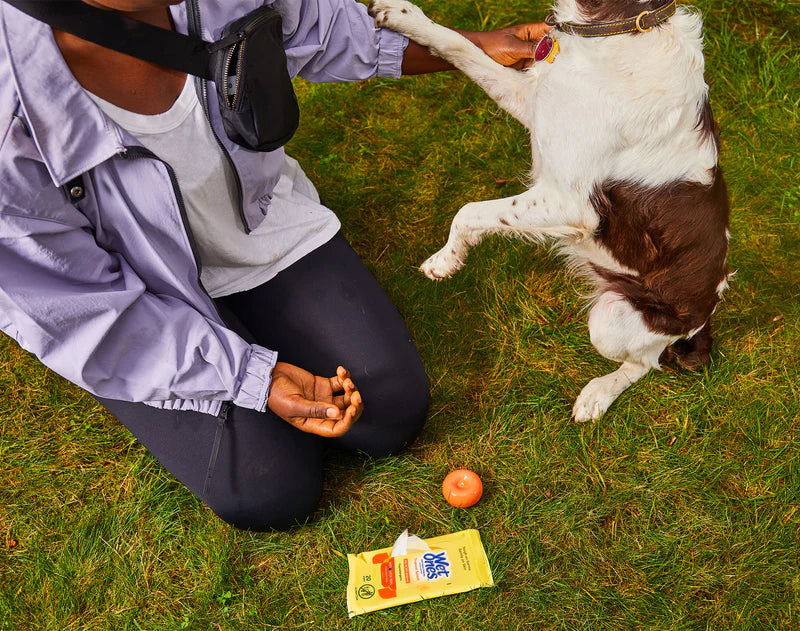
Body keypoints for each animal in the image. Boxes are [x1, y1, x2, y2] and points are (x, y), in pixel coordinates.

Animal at [368, 1, 732, 424]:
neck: (618, 29)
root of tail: (705, 317)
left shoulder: (570, 201)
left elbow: (469, 211)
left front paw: (445, 260)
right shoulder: (533, 102)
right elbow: (460, 46)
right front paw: (403, 15)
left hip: (613, 319)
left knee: (645, 363)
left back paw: (596, 396)